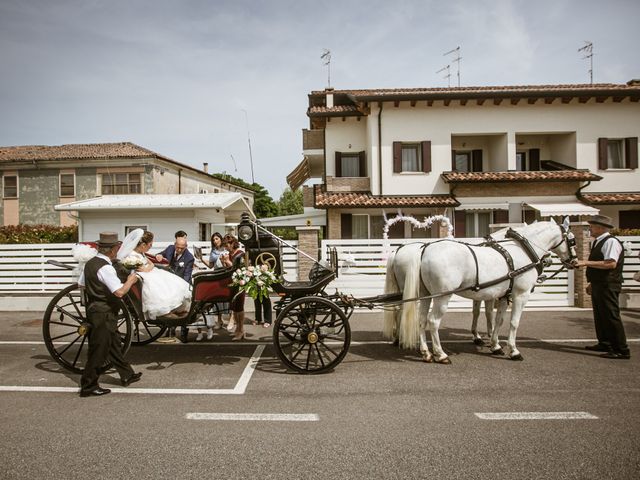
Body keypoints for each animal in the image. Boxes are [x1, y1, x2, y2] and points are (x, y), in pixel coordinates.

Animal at [388, 218, 576, 364]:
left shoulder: (501, 295)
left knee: (420, 320)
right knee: (432, 321)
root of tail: (423, 250)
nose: (574, 261)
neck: (520, 251)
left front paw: (495, 345)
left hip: (425, 294)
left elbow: (497, 320)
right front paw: (513, 350)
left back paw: (425, 352)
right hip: (442, 297)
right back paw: (440, 354)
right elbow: (512, 322)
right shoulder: (520, 295)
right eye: (572, 240)